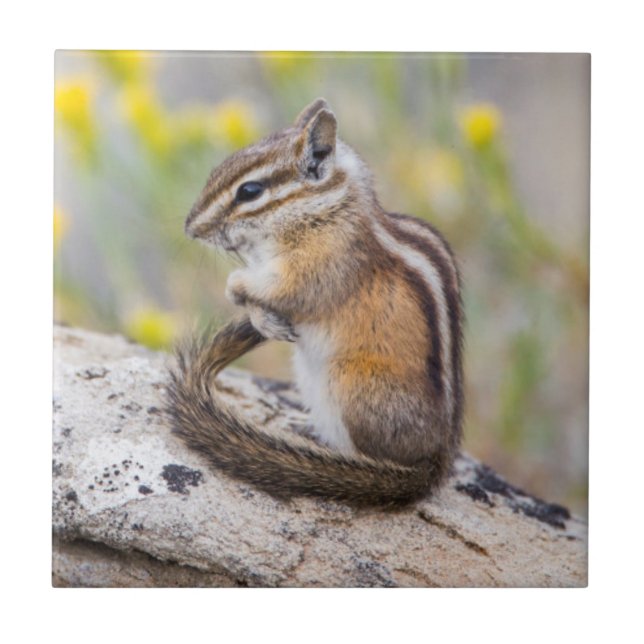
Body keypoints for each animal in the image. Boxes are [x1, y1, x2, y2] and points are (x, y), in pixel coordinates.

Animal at [167, 98, 464, 508]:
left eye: (250, 191)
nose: (191, 228)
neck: (324, 209)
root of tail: (436, 462)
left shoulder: (318, 268)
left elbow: (282, 289)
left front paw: (236, 286)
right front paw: (262, 319)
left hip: (349, 384)